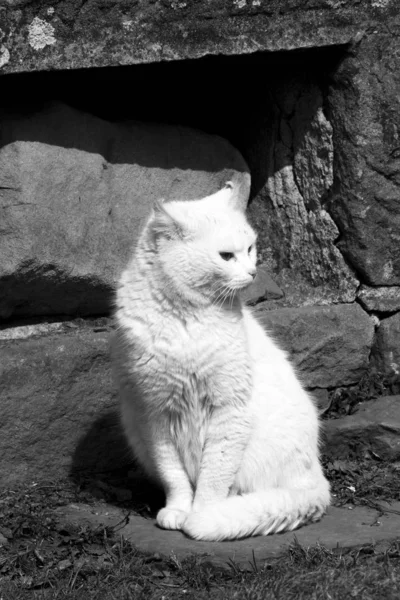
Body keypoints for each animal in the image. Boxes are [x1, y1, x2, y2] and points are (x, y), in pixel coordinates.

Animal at [112, 180, 332, 540]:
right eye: (226, 256)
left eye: (251, 248)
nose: (253, 272)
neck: (186, 316)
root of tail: (317, 477)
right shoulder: (155, 415)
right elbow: (174, 477)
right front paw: (178, 511)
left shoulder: (229, 412)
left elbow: (213, 477)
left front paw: (201, 515)